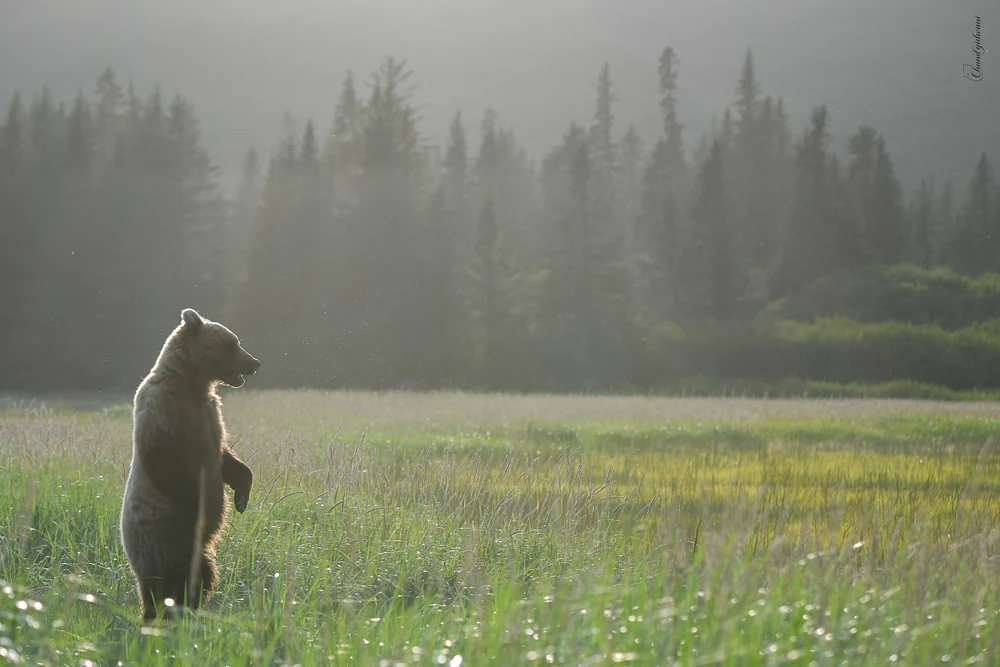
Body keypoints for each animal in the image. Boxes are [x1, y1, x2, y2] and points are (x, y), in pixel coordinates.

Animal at [120, 307, 260, 621]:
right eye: (232, 343)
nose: (256, 362)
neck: (191, 383)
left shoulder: (209, 415)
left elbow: (225, 457)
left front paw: (241, 496)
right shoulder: (166, 415)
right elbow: (168, 464)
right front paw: (206, 506)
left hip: (197, 553)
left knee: (202, 574)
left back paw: (191, 608)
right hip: (159, 539)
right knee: (161, 580)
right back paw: (157, 612)